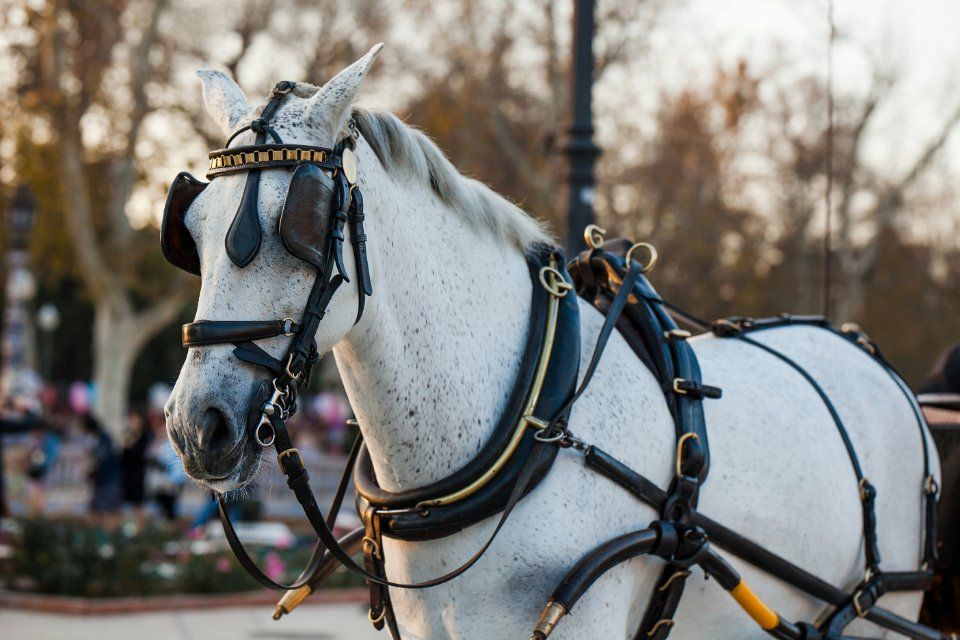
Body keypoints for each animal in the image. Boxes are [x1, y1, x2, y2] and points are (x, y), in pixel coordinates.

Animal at [163, 45, 939, 639]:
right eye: (191, 229)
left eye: (299, 222)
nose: (198, 426)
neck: (535, 424)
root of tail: (876, 364)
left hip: (883, 609)